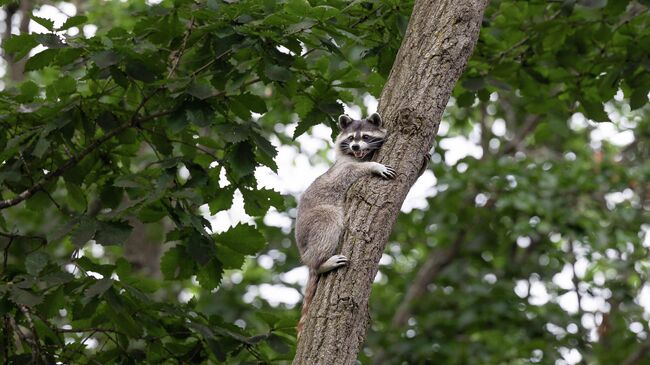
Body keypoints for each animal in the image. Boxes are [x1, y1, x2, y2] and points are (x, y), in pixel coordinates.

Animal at [294, 112, 394, 334]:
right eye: (350, 139)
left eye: (365, 137)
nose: (355, 147)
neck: (359, 156)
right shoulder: (342, 169)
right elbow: (353, 171)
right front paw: (373, 166)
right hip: (311, 224)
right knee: (328, 219)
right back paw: (320, 263)